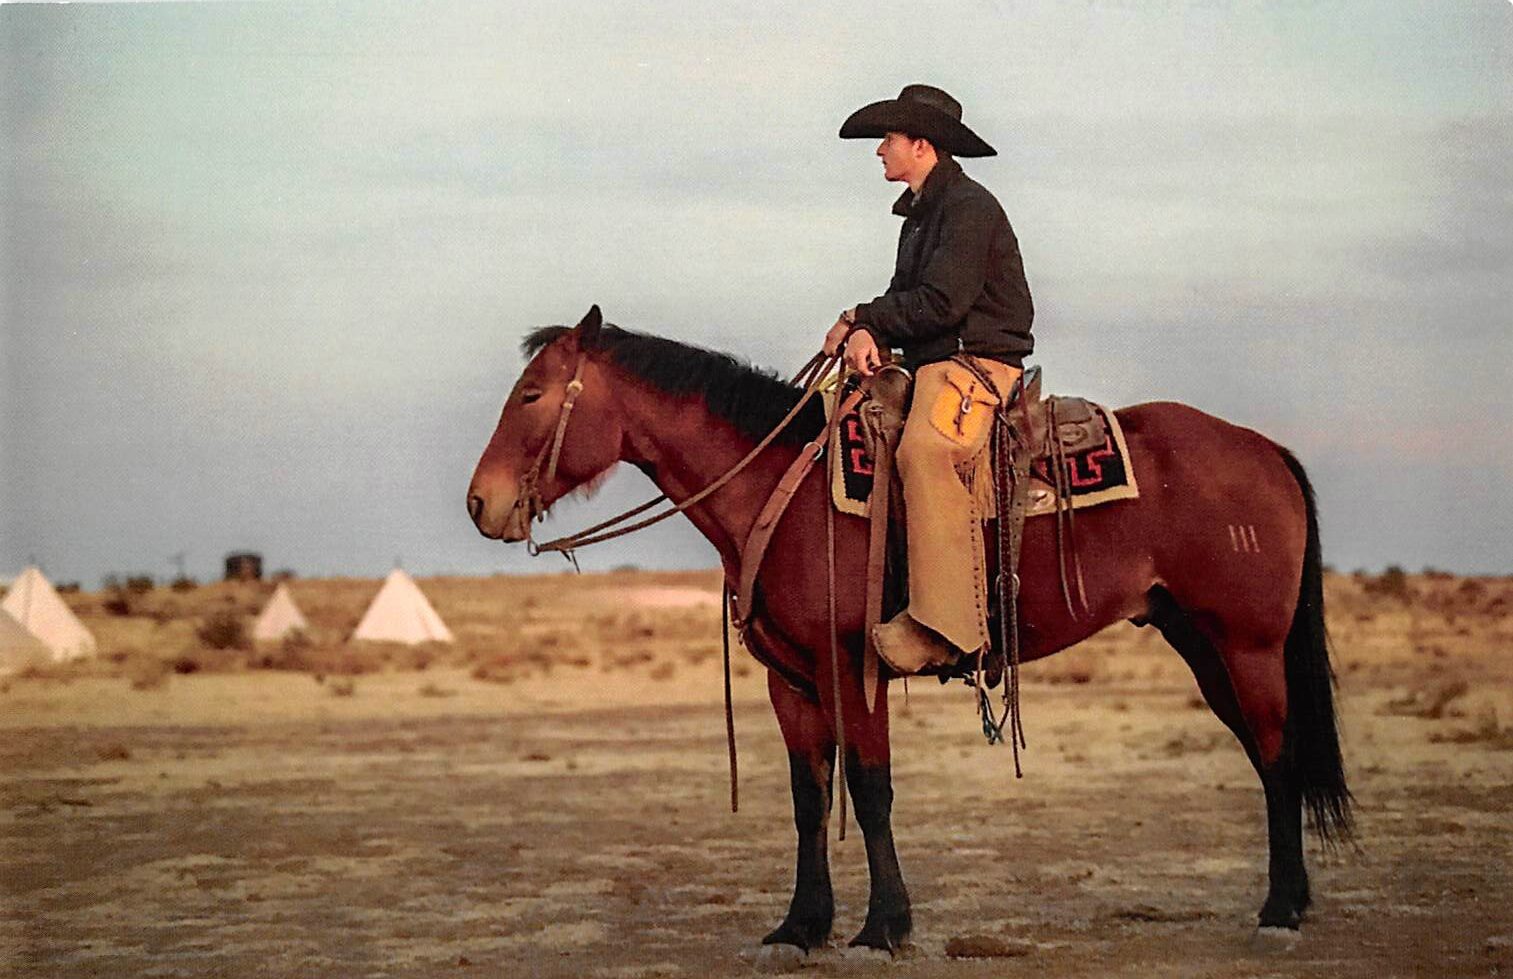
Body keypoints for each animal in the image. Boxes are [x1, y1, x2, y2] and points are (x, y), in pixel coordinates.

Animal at [466, 308, 1355, 956]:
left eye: (533, 395)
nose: (481, 503)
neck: (779, 491)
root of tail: (1262, 449)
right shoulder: (790, 680)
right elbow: (808, 798)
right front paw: (800, 926)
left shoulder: (849, 668)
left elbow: (869, 790)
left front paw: (880, 926)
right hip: (1200, 641)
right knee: (1268, 757)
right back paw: (1292, 900)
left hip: (1244, 645)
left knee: (1277, 756)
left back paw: (1279, 910)